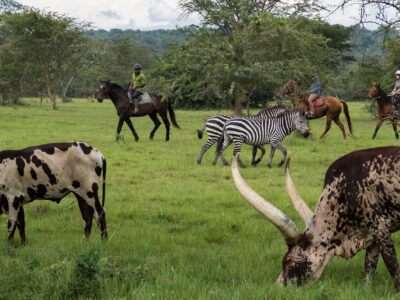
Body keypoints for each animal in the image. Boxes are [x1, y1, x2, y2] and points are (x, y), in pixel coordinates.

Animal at [231, 146, 400, 292]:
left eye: (288, 261)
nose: (279, 286)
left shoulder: (380, 227)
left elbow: (393, 267)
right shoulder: (372, 233)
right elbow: (370, 264)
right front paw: (367, 288)